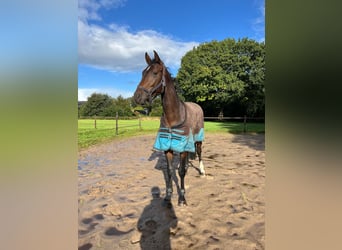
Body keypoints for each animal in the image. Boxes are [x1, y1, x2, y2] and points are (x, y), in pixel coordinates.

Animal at [133, 50, 203, 205]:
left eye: (155, 73)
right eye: (142, 72)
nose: (137, 97)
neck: (174, 117)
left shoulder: (182, 146)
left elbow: (180, 172)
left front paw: (182, 198)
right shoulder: (168, 147)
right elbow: (170, 171)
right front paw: (168, 195)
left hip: (199, 138)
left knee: (200, 152)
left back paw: (202, 171)